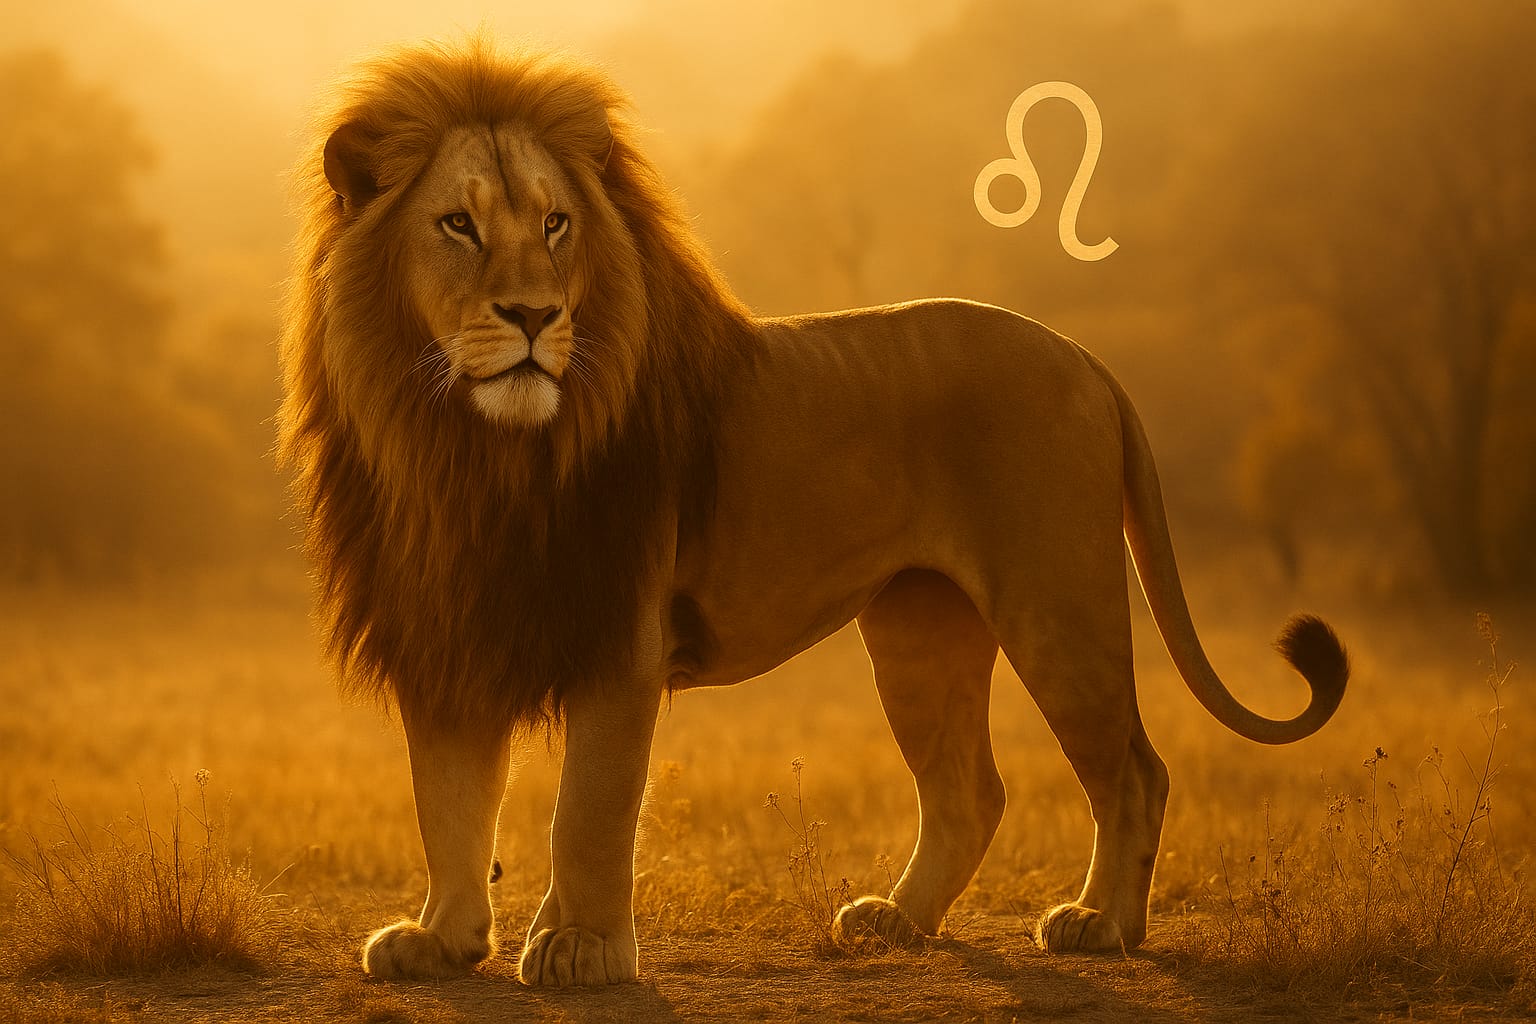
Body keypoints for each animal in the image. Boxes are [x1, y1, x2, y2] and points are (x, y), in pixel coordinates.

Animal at [277, 38, 1348, 987]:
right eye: (457, 225)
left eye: (555, 224)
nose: (536, 317)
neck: (470, 450)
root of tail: (1084, 357)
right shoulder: (446, 632)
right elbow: (448, 803)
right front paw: (441, 940)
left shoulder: (620, 640)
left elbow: (588, 809)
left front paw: (582, 949)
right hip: (920, 631)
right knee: (970, 791)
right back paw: (898, 924)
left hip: (1058, 603)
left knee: (1132, 770)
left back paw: (1103, 927)